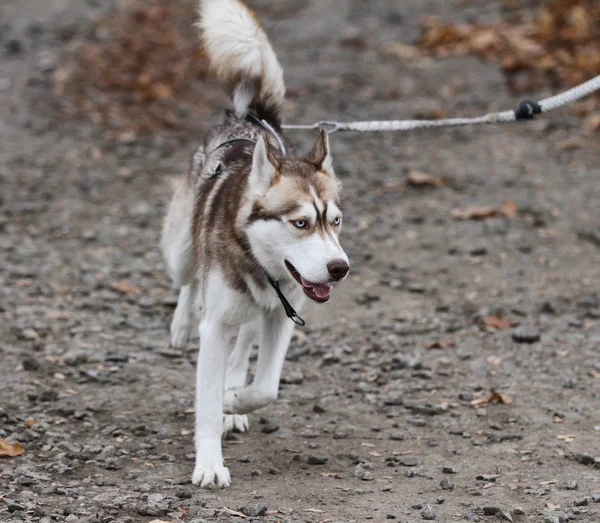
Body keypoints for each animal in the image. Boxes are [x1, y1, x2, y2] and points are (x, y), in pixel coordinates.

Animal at [162, 0, 350, 492]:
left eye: (336, 222)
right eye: (300, 222)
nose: (339, 267)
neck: (262, 269)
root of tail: (250, 120)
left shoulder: (281, 319)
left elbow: (264, 388)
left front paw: (235, 401)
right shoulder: (215, 327)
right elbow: (207, 405)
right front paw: (210, 463)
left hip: (254, 314)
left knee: (244, 342)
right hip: (181, 253)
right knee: (187, 282)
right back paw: (180, 323)